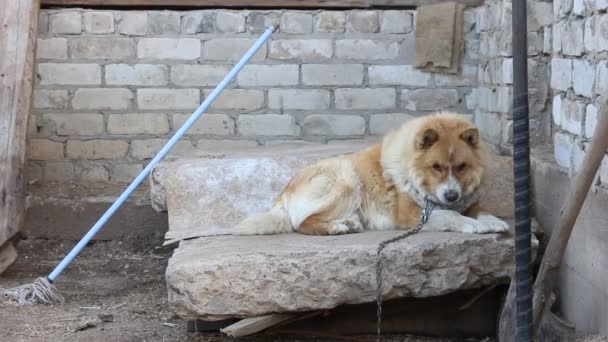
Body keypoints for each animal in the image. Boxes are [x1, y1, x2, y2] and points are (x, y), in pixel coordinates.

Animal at [235, 113, 510, 236]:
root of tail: (284, 192)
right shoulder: (411, 215)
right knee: (301, 223)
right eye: (437, 167)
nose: (452, 195)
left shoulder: (465, 201)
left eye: (461, 167)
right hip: (348, 182)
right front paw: (471, 224)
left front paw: (493, 221)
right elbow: (450, 215)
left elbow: (478, 209)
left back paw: (348, 223)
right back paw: (336, 227)